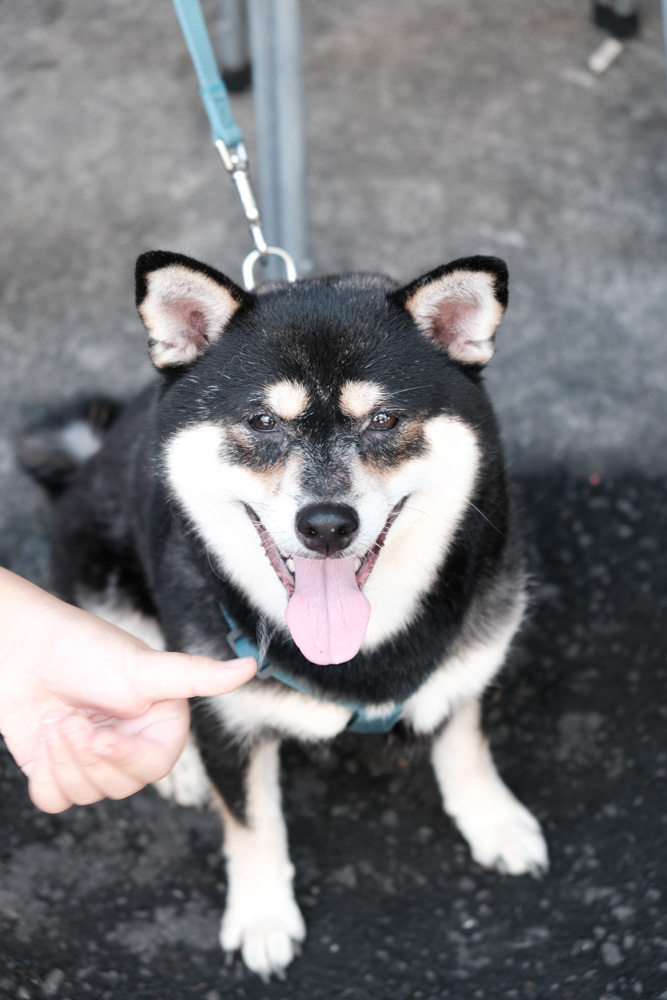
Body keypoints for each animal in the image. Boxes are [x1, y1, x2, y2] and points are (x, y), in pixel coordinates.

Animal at [23, 250, 552, 976]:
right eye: (262, 422)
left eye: (383, 421)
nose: (326, 525)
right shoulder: (229, 715)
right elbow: (254, 823)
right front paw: (262, 916)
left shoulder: (474, 652)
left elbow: (465, 744)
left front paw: (492, 819)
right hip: (100, 575)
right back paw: (178, 766)